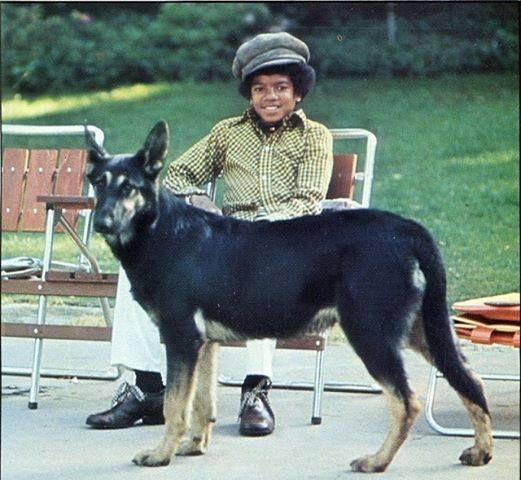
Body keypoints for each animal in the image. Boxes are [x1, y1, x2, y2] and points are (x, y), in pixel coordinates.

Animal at [85, 122, 492, 474]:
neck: (160, 230)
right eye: (98, 183)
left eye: (129, 187)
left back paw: (377, 461)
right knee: (470, 381)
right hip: (423, 332)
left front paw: (161, 454)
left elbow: (174, 405)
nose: (102, 222)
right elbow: (201, 403)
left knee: (407, 402)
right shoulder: (203, 344)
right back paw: (481, 451)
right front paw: (194, 446)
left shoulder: (181, 338)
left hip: (372, 335)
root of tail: (408, 229)